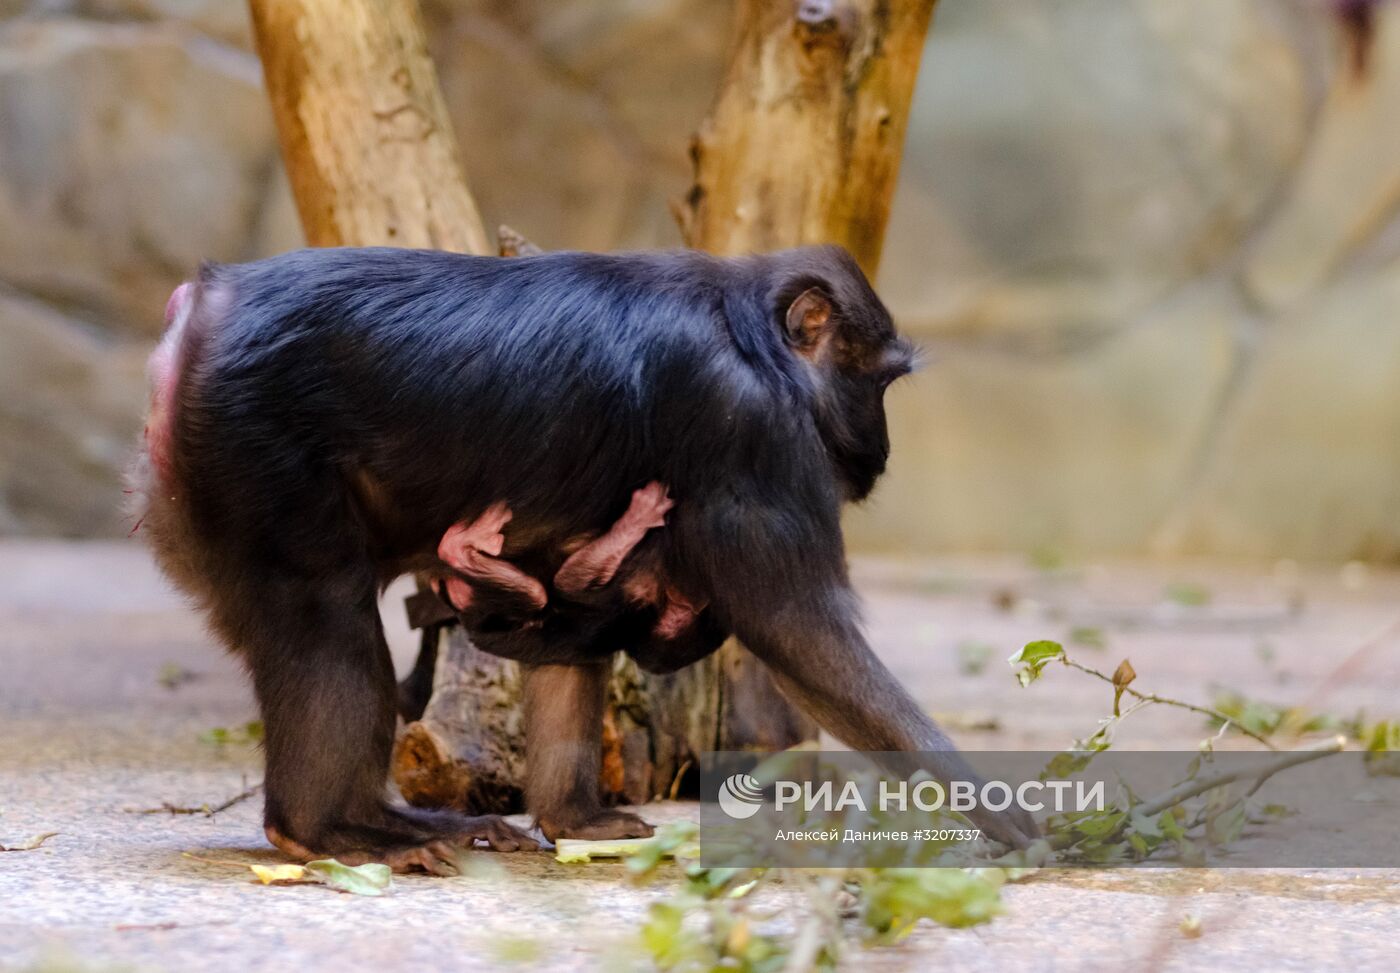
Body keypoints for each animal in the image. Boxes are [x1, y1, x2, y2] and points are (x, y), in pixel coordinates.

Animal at [136, 245, 1041, 873]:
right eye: (879, 383)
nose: (881, 448)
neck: (748, 334)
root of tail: (202, 303)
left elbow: (570, 641)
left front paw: (573, 818)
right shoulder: (746, 425)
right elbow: (799, 630)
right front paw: (1012, 818)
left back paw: (388, 818)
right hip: (252, 450)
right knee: (327, 617)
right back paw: (323, 828)